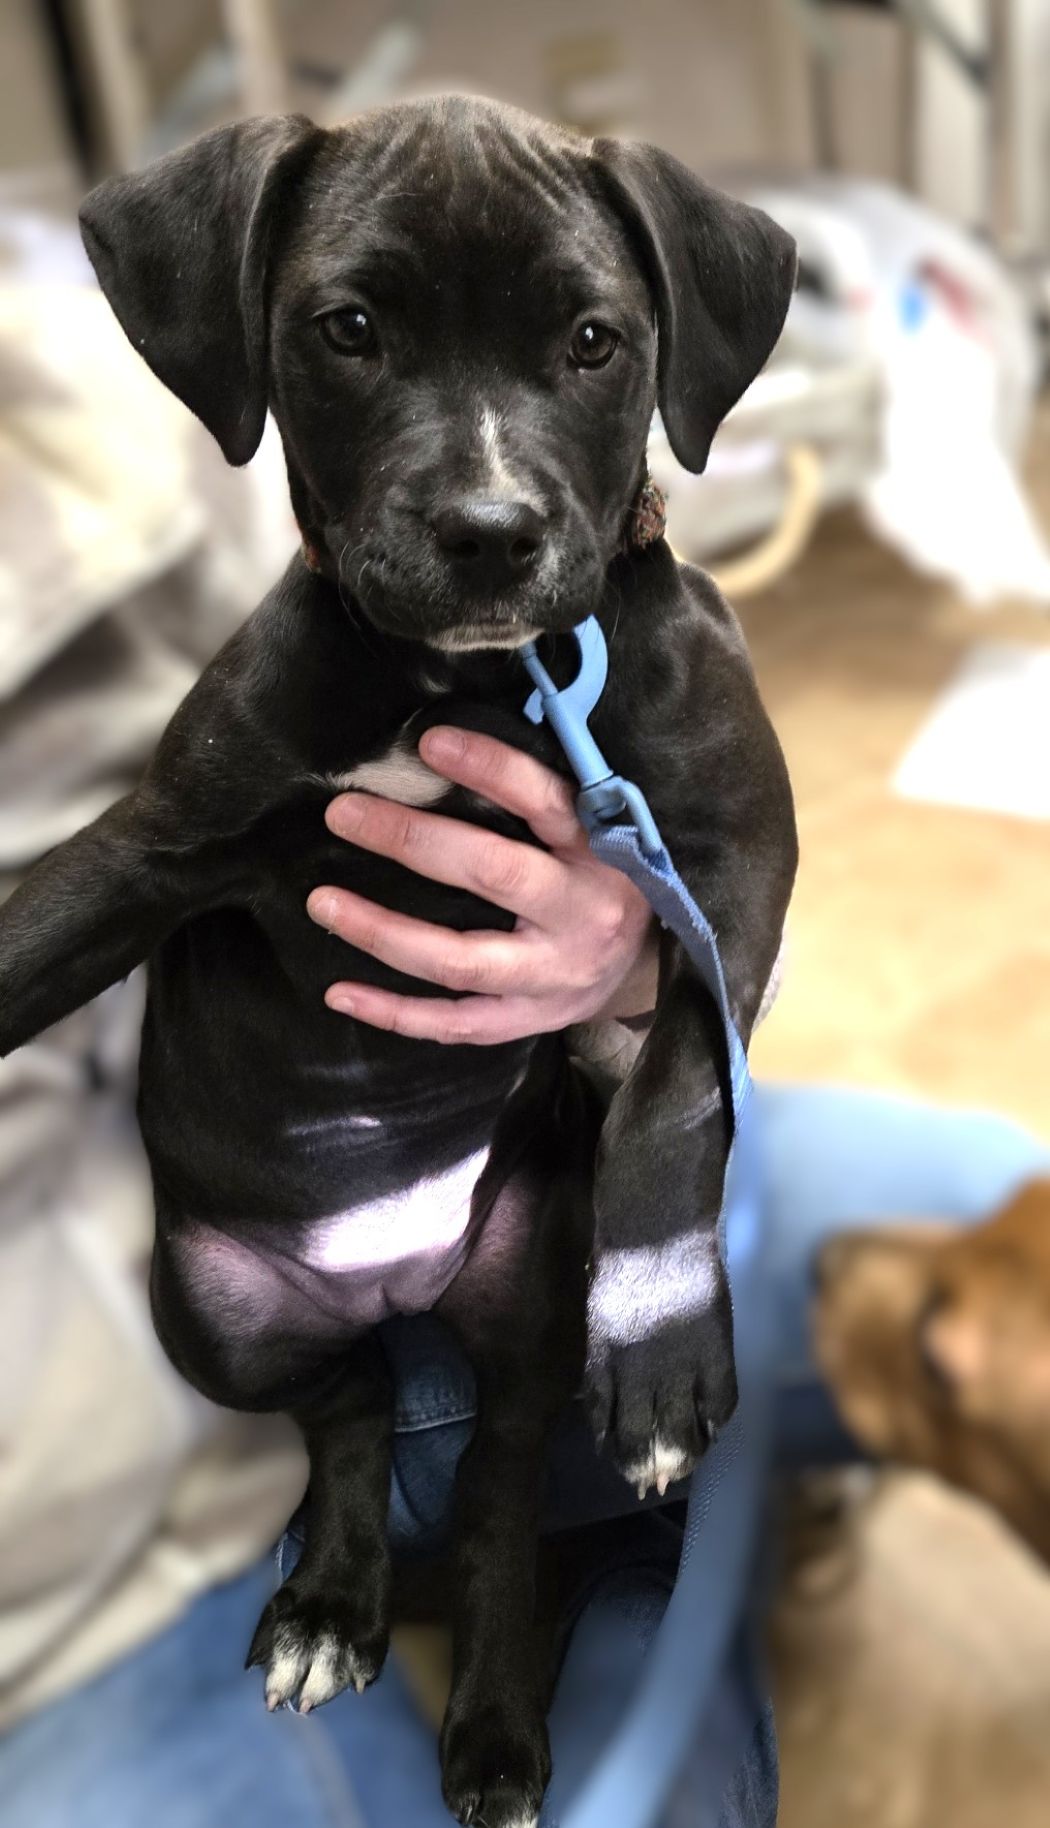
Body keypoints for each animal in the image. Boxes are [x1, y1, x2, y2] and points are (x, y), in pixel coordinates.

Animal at [0, 97, 797, 1826]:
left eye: (592, 341)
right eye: (347, 330)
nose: (489, 536)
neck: (475, 683)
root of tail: (398, 1284)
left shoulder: (729, 866)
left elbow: (674, 1093)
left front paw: (660, 1342)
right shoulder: (153, 847)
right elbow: (22, 943)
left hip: (524, 1298)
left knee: (494, 1493)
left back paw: (492, 1723)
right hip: (219, 1318)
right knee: (350, 1414)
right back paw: (328, 1603)